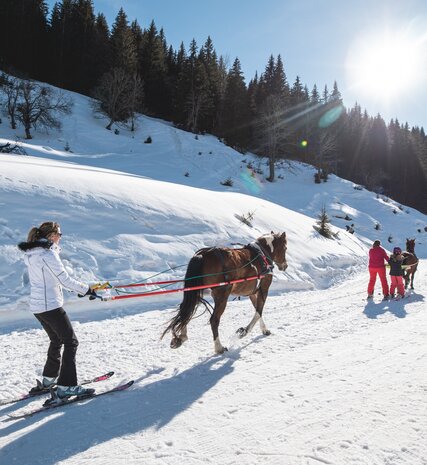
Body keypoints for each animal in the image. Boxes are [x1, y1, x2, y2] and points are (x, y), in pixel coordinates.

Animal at [162, 230, 290, 354]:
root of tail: (202, 255)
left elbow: (257, 310)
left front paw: (264, 329)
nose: (285, 266)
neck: (262, 254)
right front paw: (244, 331)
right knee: (213, 320)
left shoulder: (253, 293)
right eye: (285, 248)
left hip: (198, 291)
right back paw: (219, 347)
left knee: (187, 309)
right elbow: (259, 311)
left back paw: (182, 337)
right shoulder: (263, 289)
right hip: (222, 295)